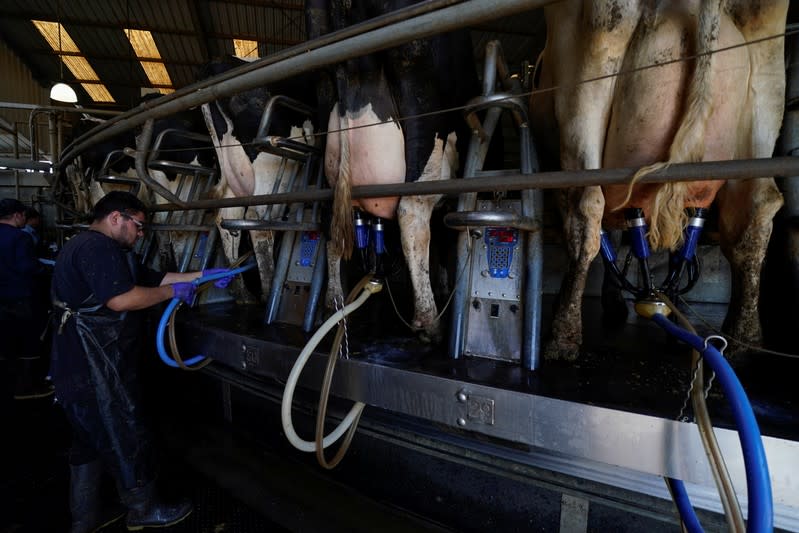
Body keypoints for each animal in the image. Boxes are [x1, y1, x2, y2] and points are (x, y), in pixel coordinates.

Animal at [532, 1, 788, 362]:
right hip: (766, 83)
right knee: (756, 214)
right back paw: (741, 337)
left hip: (587, 76)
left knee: (586, 212)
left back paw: (561, 338)